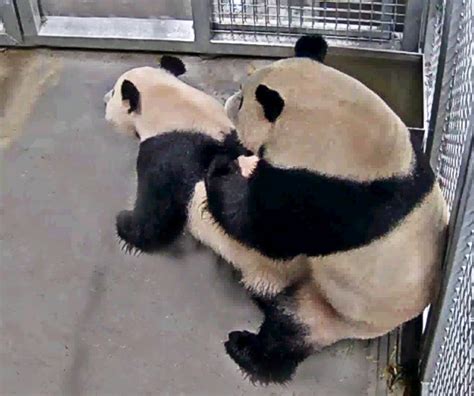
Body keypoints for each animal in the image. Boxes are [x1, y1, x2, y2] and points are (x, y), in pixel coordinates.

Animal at [187, 35, 446, 382]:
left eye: (242, 101)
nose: (229, 103)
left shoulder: (326, 197)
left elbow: (262, 228)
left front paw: (222, 168)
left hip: (341, 308)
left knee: (292, 326)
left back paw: (248, 350)